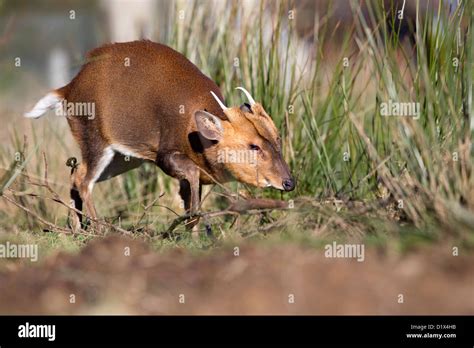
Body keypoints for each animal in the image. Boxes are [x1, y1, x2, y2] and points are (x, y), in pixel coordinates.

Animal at [25, 40, 294, 231]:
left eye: (278, 139)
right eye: (253, 146)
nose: (289, 182)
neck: (195, 134)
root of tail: (67, 89)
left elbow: (191, 191)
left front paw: (193, 229)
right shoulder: (165, 155)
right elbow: (191, 180)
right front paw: (196, 225)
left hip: (124, 159)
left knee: (75, 173)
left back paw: (79, 228)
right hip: (95, 137)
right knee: (83, 179)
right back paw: (99, 229)